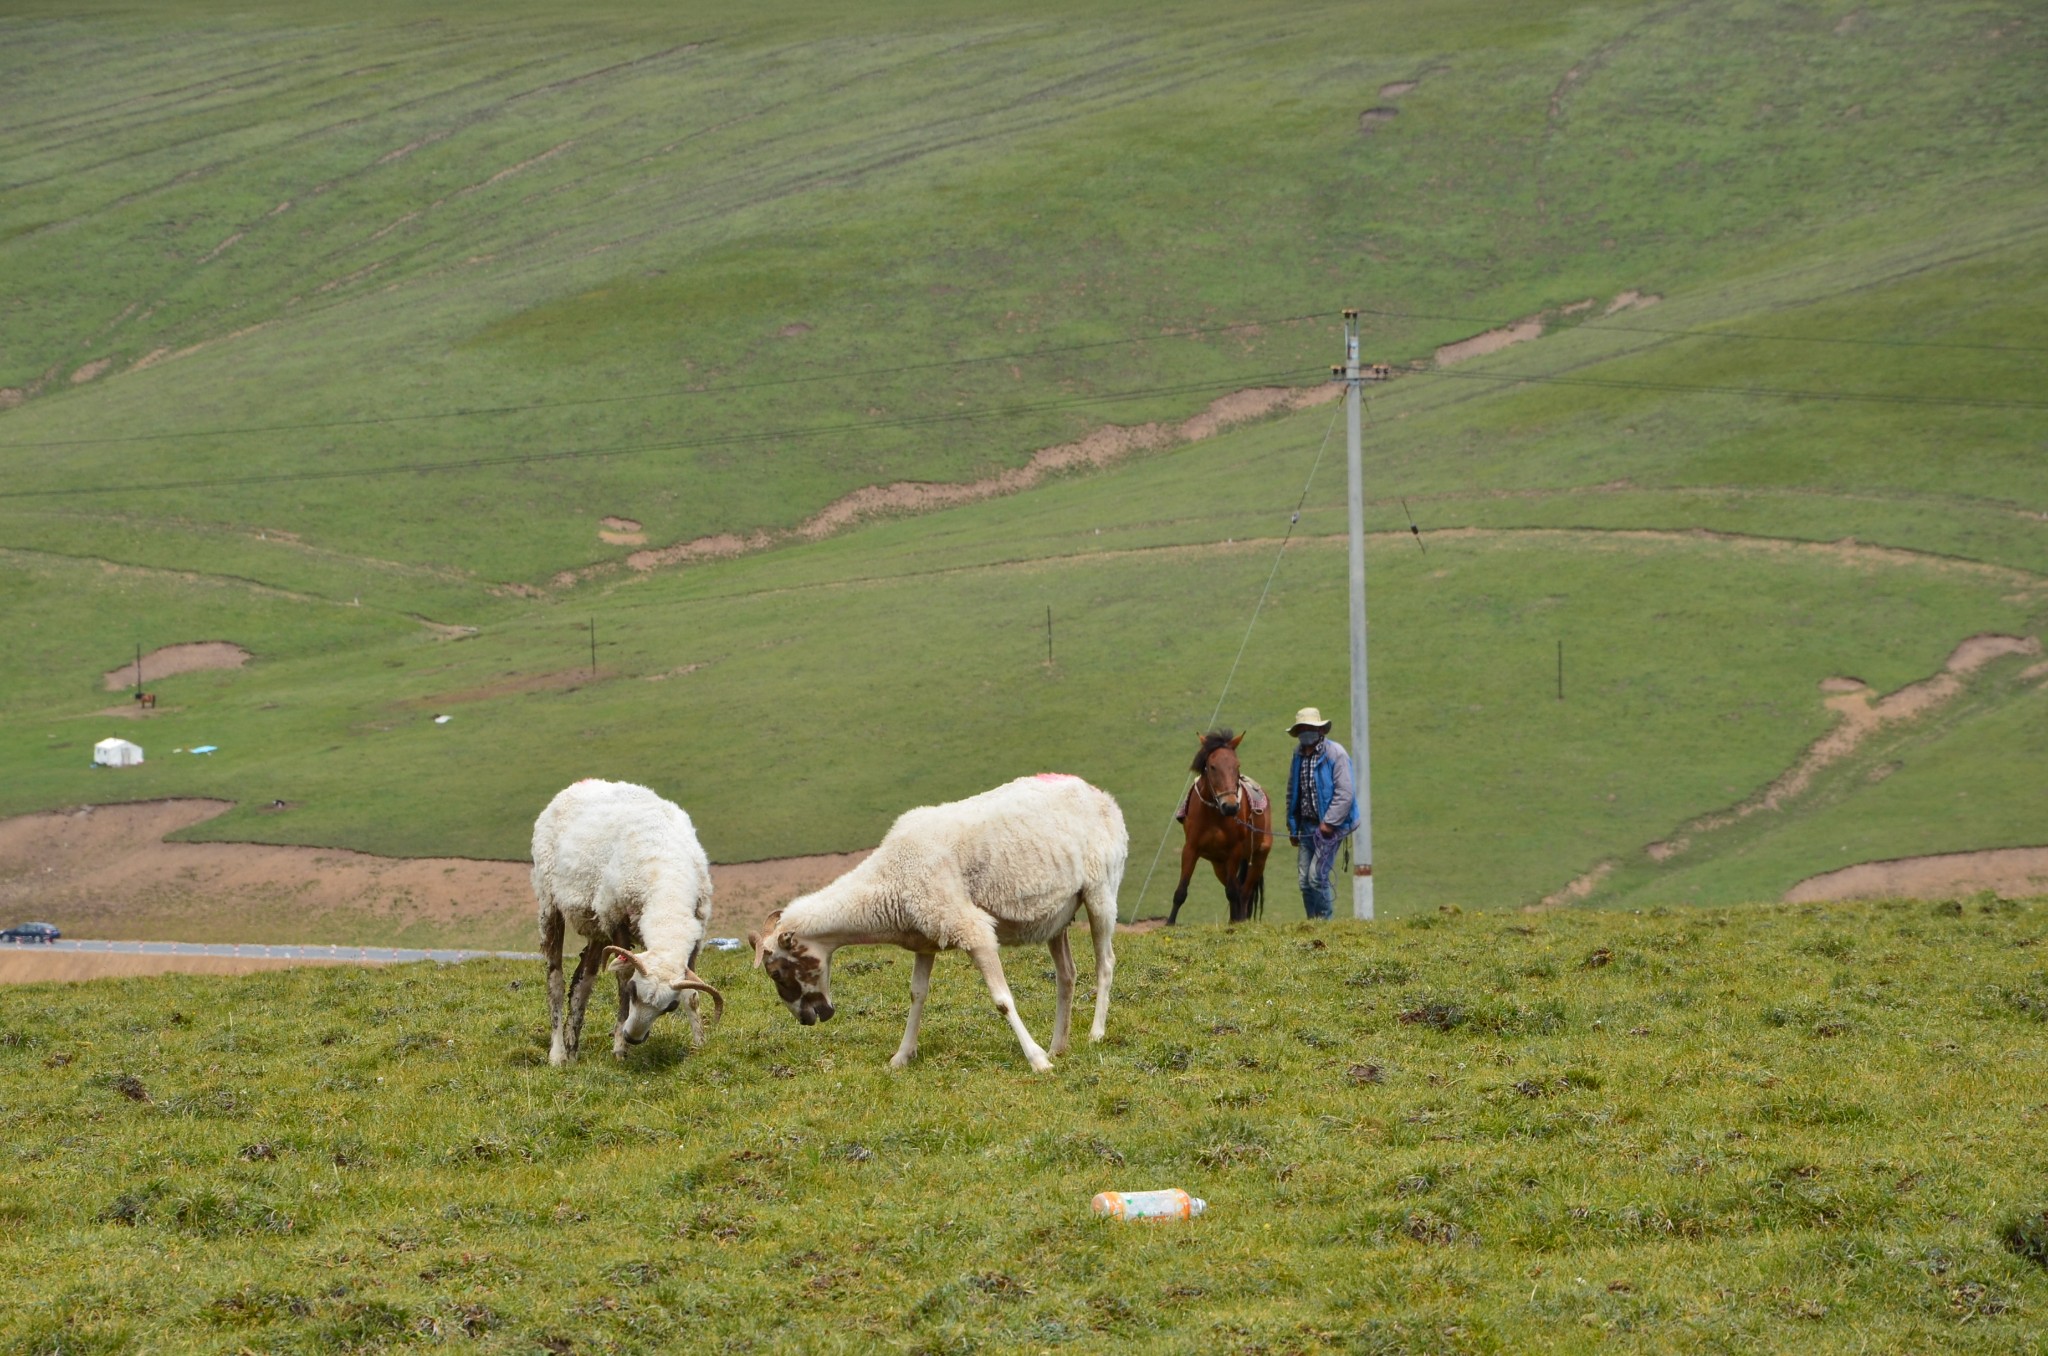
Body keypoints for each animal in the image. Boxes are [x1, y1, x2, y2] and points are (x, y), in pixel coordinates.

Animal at [532, 782, 724, 1065]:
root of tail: (580, 784)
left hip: (596, 921)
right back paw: (557, 1054)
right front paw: (619, 1048)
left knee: (582, 982)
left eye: (670, 1006)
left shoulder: (694, 940)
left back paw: (572, 1048)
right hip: (549, 902)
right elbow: (622, 981)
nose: (633, 1037)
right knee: (555, 980)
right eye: (634, 992)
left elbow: (692, 995)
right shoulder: (617, 921)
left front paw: (699, 1043)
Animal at [753, 774, 1130, 1073]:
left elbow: (1002, 999)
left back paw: (1094, 1034)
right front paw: (902, 1057)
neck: (889, 878)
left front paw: (1037, 1061)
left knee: (1106, 962)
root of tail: (1096, 792)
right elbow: (917, 994)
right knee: (1067, 974)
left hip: (1101, 889)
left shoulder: (972, 928)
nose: (807, 1019)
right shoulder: (925, 939)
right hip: (1056, 916)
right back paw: (1058, 1045)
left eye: (776, 973)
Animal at [1179, 729, 1269, 929]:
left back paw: (1240, 920)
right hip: (1219, 864)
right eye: (1212, 766)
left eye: (1237, 765)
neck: (1214, 813)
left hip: (1258, 858)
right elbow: (1181, 890)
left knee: (1243, 892)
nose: (1230, 807)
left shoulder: (1234, 851)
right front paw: (1169, 923)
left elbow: (1233, 892)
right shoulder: (1190, 848)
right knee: (1236, 890)